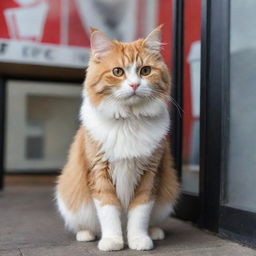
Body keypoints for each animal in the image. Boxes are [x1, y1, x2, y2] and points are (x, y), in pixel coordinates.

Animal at [56, 26, 180, 252]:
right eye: (118, 72)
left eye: (145, 71)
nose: (134, 85)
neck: (128, 120)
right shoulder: (99, 173)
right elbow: (109, 213)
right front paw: (113, 241)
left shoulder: (149, 174)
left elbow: (139, 214)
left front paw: (139, 239)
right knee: (85, 225)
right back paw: (86, 234)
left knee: (153, 221)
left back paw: (155, 232)